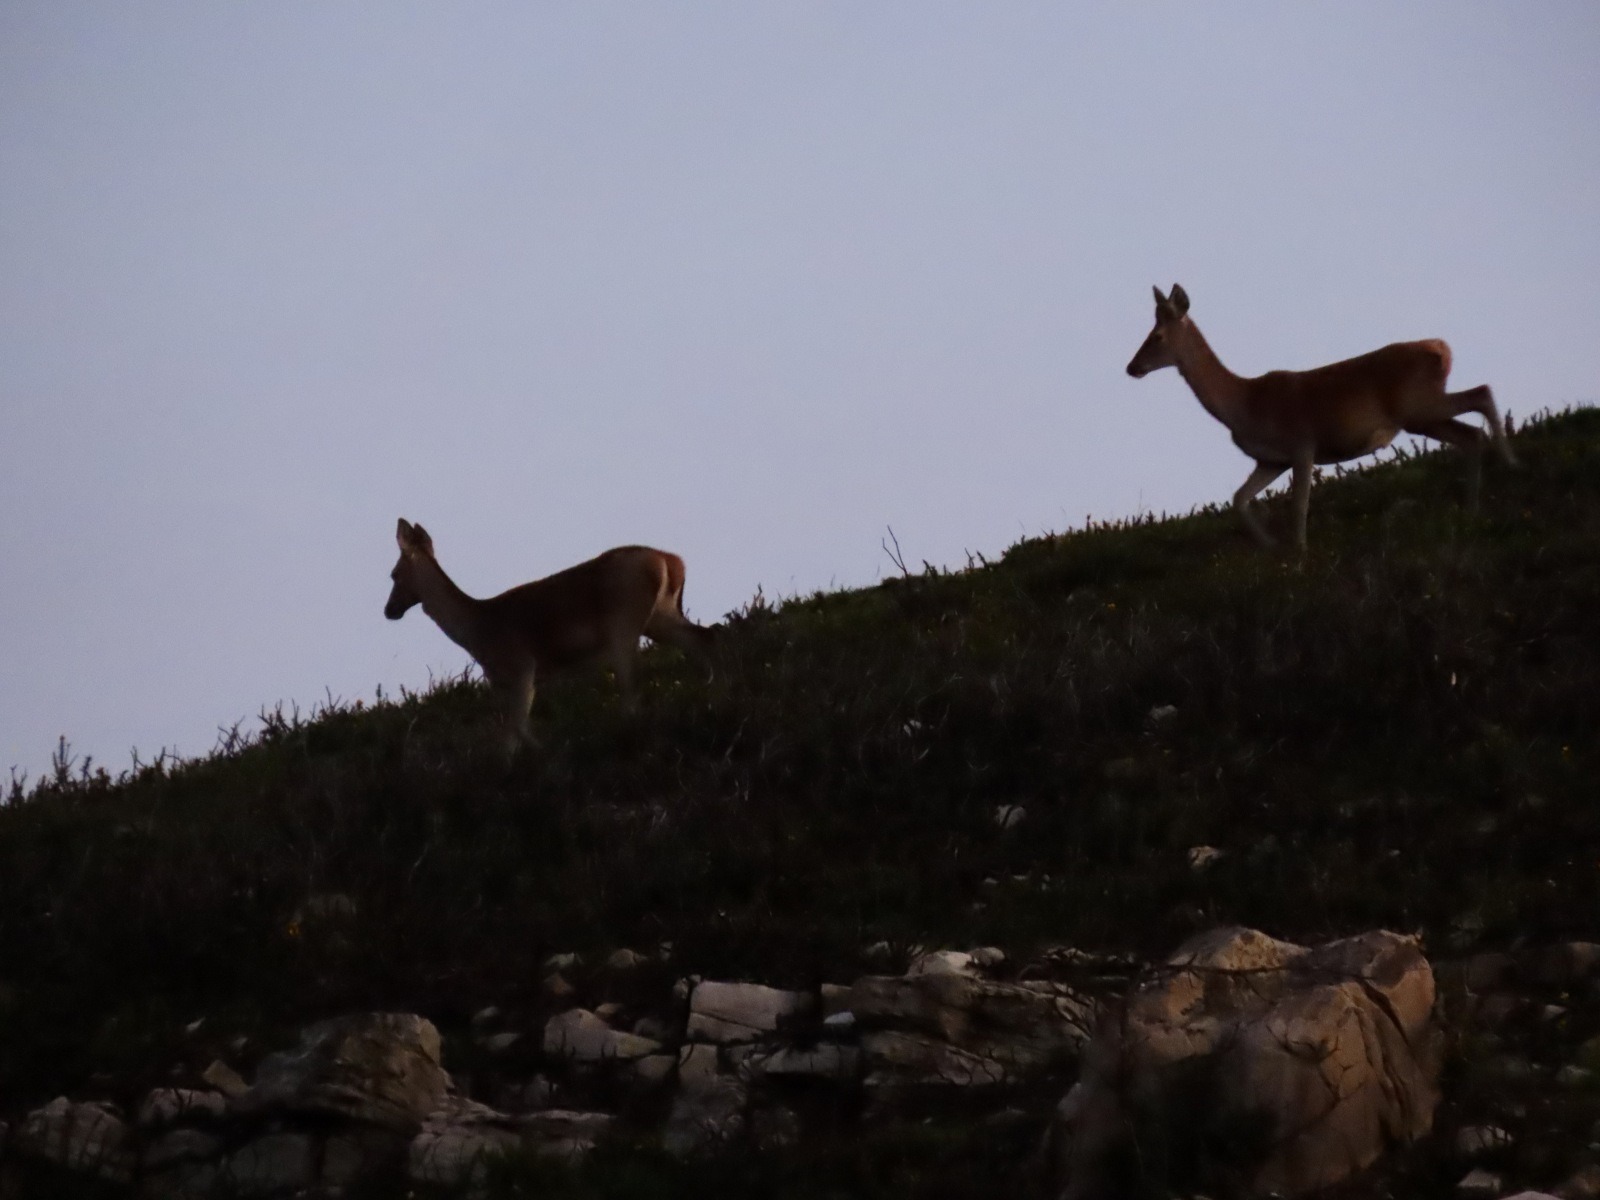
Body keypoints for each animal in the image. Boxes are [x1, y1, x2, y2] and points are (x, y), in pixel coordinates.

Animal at [384, 519, 714, 752]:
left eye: (394, 574)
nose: (389, 610)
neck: (478, 631)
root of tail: (670, 561)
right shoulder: (503, 680)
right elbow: (509, 735)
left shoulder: (522, 666)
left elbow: (518, 729)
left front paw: (547, 752)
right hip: (660, 615)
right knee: (702, 636)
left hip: (624, 621)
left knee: (633, 684)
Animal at [1125, 284, 1515, 551]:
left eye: (1156, 336)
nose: (1132, 367)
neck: (1243, 405)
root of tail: (1442, 349)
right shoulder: (1271, 459)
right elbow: (1238, 499)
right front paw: (1272, 546)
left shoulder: (1302, 443)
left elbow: (1299, 506)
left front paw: (1300, 554)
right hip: (1422, 415)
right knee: (1470, 433)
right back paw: (1473, 507)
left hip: (1418, 405)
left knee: (1481, 395)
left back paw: (1509, 463)